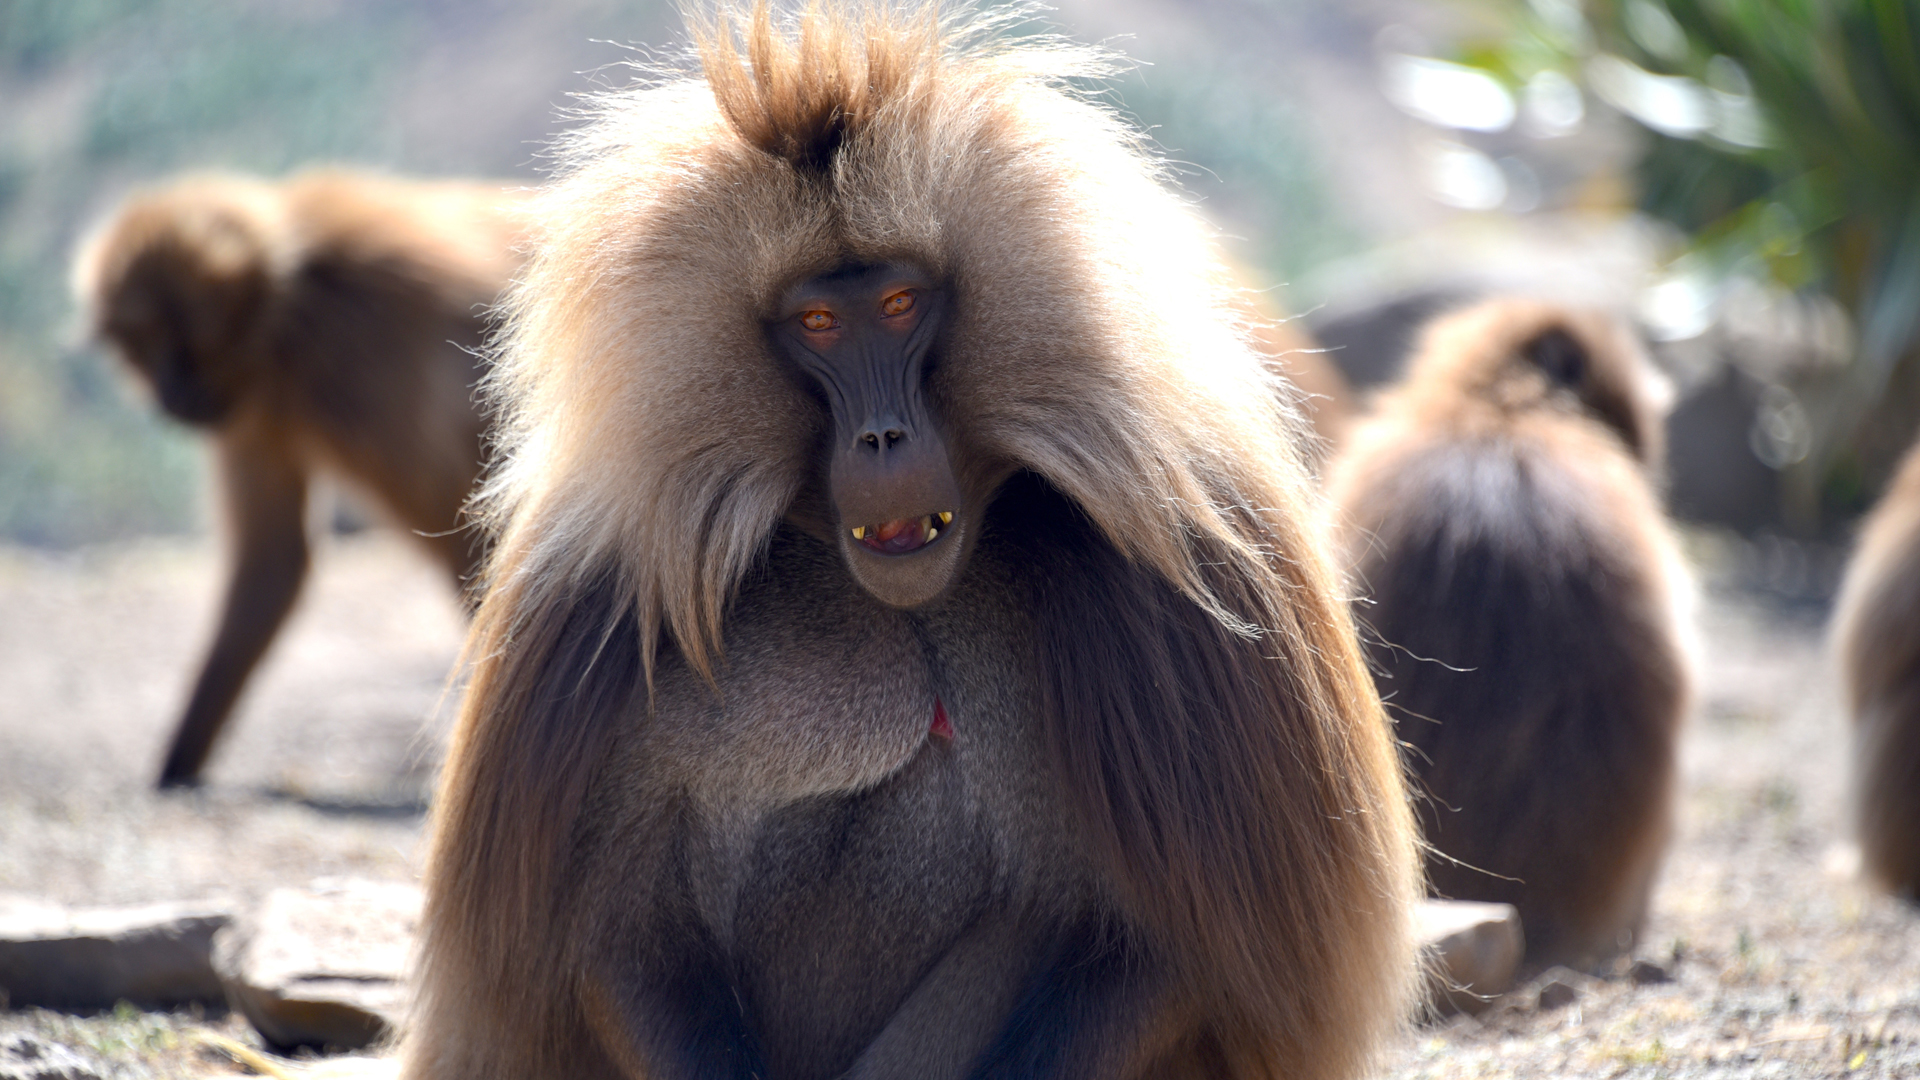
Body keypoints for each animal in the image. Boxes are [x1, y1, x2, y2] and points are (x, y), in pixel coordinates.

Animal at [72, 169, 528, 788]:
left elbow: (460, 525)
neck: (285, 305)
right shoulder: (253, 405)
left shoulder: (358, 359)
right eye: (143, 346)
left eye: (185, 345)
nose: (170, 397)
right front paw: (177, 764)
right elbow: (275, 560)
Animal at [403, 7, 1419, 1080]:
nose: (882, 439)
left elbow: (1195, 960)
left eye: (897, 306)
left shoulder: (1199, 563)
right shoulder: (595, 594)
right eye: (817, 321)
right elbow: (607, 952)